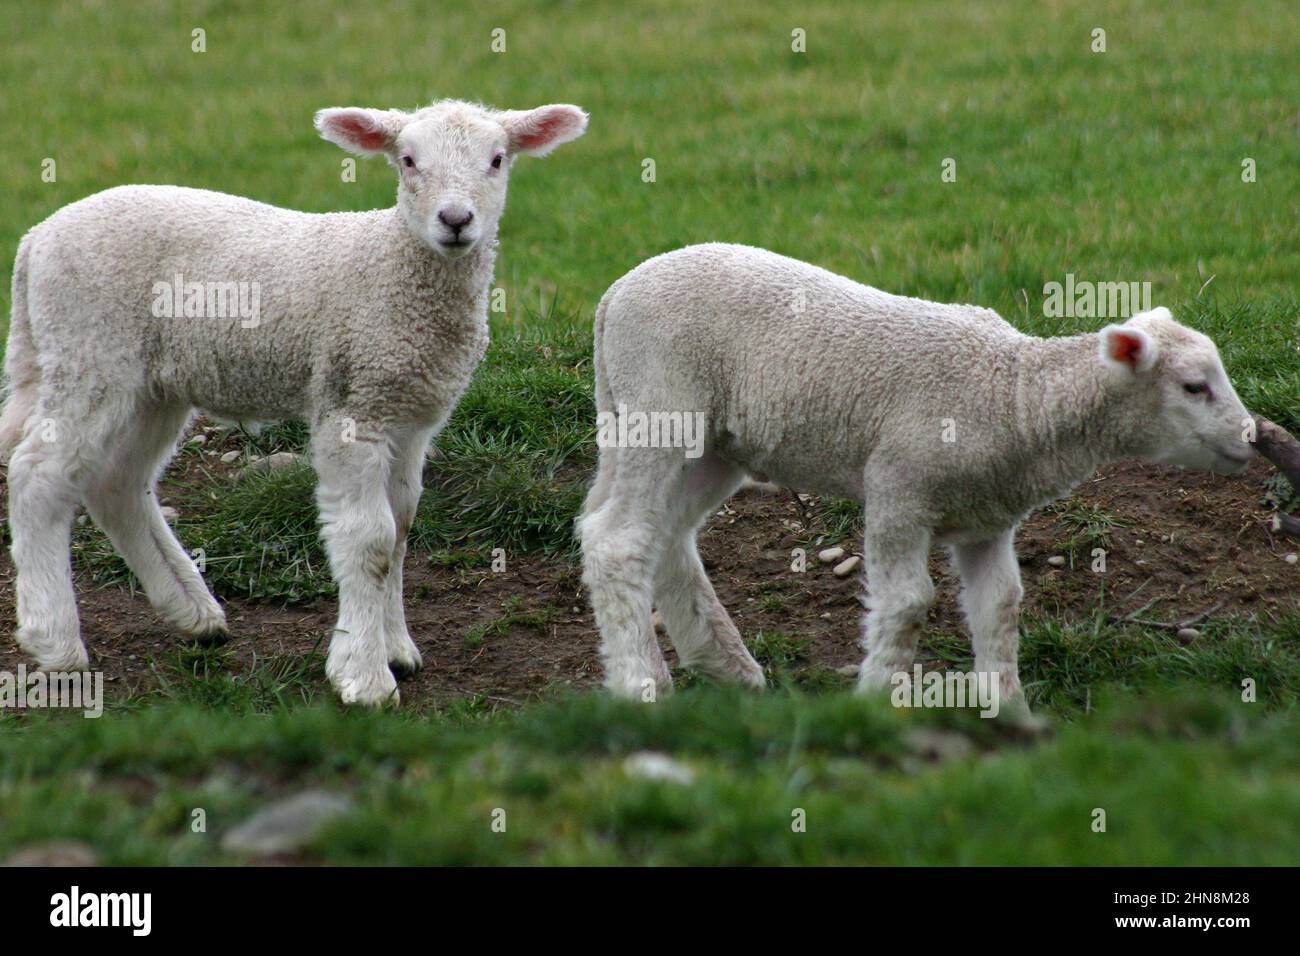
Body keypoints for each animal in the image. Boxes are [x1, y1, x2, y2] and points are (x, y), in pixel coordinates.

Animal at [1, 100, 590, 707]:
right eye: (407, 160)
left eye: (497, 160)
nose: (455, 220)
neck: (393, 265)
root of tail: (37, 237)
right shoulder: (353, 406)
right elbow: (372, 541)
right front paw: (364, 675)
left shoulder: (410, 419)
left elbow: (401, 530)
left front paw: (396, 648)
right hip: (89, 351)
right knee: (38, 474)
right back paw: (55, 641)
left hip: (153, 383)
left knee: (116, 484)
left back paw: (194, 614)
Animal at [582, 244, 1258, 712]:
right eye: (1194, 387)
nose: (1253, 438)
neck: (1013, 396)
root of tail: (613, 294)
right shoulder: (898, 488)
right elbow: (908, 604)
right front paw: (876, 701)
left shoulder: (987, 519)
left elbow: (1000, 607)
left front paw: (1009, 713)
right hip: (660, 408)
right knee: (620, 540)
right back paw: (643, 683)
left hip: (712, 445)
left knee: (656, 535)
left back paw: (727, 666)